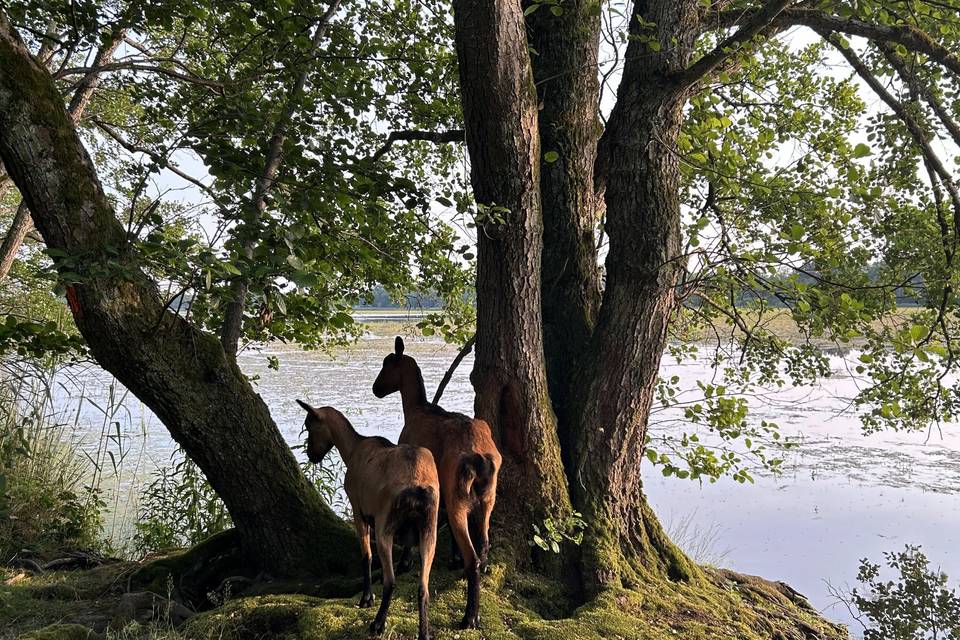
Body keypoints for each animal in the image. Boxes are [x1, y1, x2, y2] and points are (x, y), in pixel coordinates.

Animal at [296, 400, 438, 640]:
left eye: (309, 425)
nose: (311, 455)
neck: (353, 449)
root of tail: (416, 486)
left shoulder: (357, 509)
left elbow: (366, 556)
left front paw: (366, 598)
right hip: (429, 529)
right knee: (423, 587)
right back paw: (424, 633)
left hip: (385, 527)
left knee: (390, 581)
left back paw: (377, 624)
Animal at [372, 340, 502, 632]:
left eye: (387, 364)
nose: (376, 389)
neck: (417, 410)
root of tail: (481, 460)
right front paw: (452, 559)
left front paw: (406, 561)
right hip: (487, 499)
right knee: (484, 545)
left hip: (458, 497)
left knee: (473, 557)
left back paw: (470, 617)